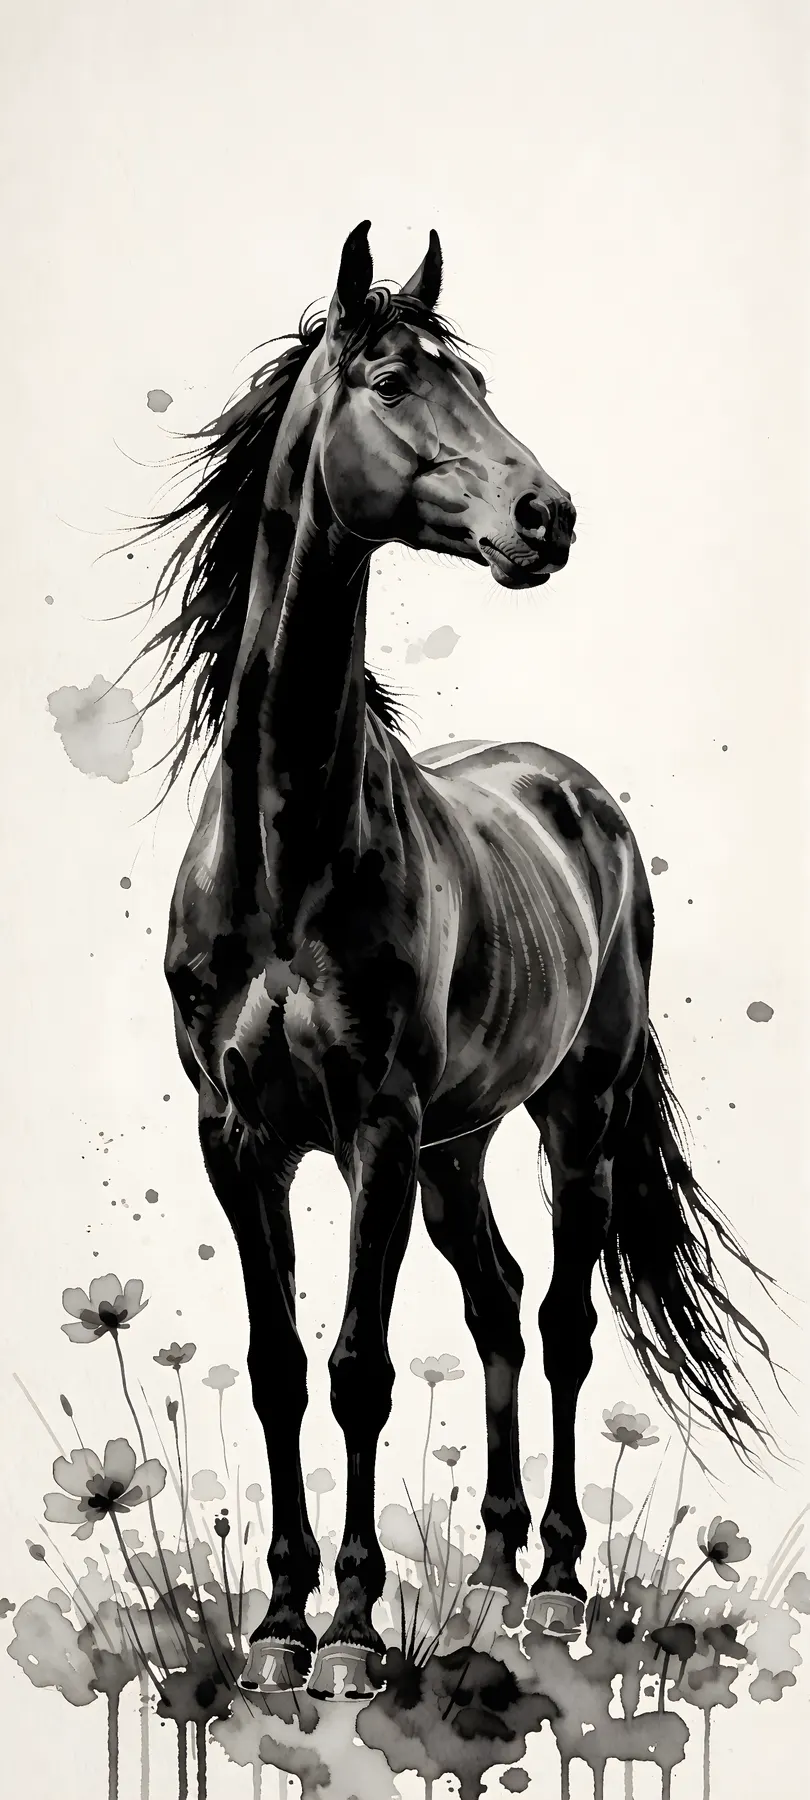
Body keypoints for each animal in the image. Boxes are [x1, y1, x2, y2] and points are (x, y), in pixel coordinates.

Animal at [139, 223, 772, 1698]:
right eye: (388, 378)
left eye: (473, 379)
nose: (548, 517)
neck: (288, 853)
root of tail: (576, 795)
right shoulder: (239, 1136)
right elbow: (277, 1365)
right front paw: (277, 1628)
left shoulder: (373, 1126)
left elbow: (360, 1366)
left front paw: (352, 1636)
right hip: (456, 1148)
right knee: (493, 1304)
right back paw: (485, 1572)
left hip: (570, 1116)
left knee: (561, 1324)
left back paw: (552, 1586)